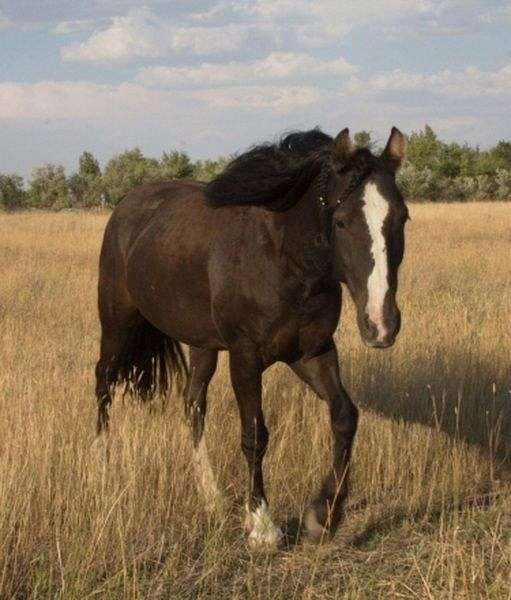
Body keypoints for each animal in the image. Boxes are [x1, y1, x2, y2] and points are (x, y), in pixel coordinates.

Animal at [95, 126, 408, 548]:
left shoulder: (312, 352)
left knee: (193, 403)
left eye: (402, 217)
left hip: (203, 344)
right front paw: (262, 526)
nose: (381, 324)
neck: (280, 258)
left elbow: (345, 416)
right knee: (103, 382)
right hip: (117, 324)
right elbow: (255, 434)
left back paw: (211, 497)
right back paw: (101, 466)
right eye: (342, 221)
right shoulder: (245, 358)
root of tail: (128, 206)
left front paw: (322, 516)